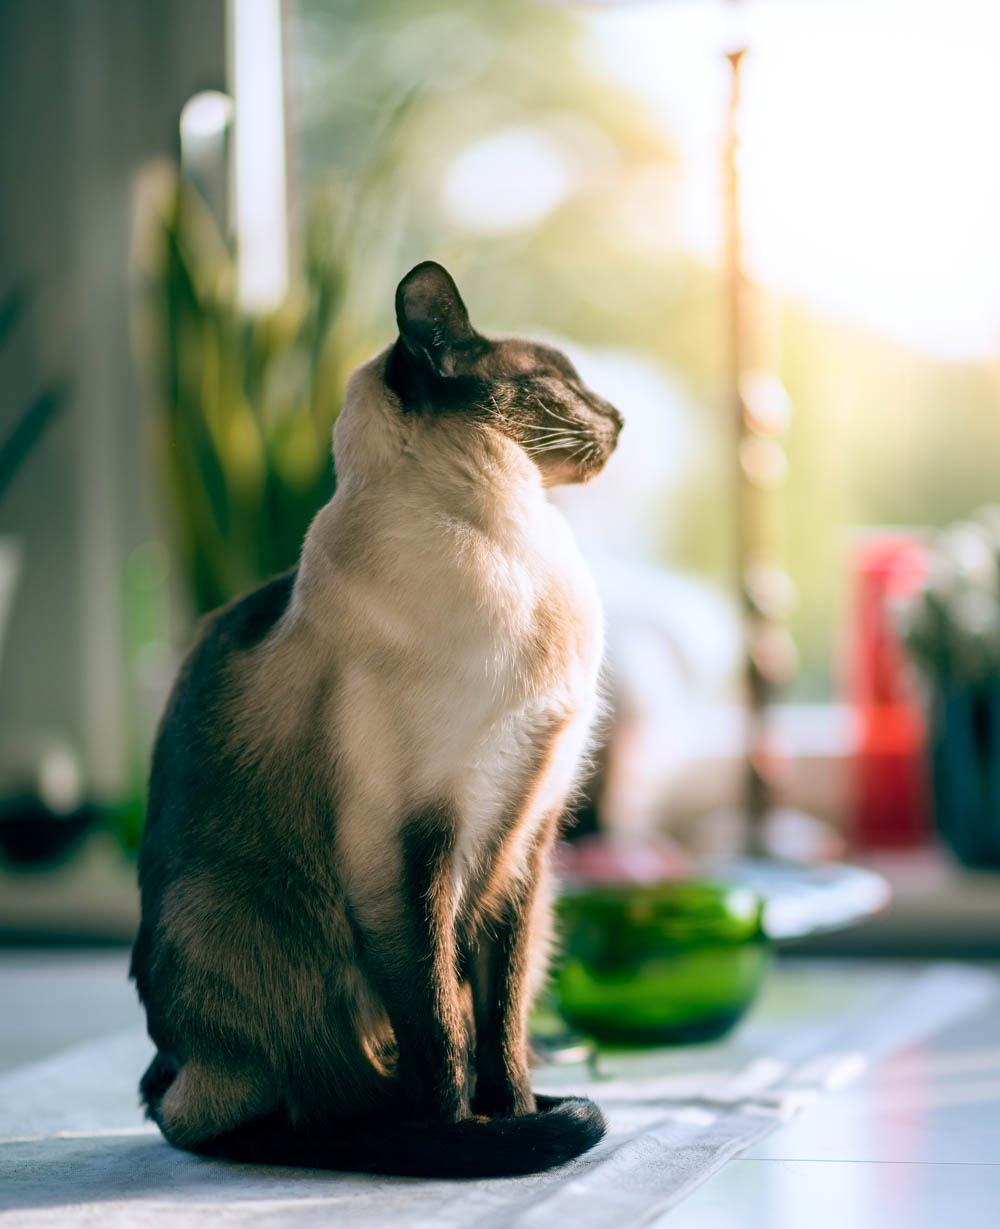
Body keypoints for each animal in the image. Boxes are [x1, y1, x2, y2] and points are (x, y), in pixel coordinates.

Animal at [128, 261, 621, 1179]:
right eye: (561, 383)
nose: (618, 417)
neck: (519, 543)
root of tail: (172, 1060)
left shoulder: (525, 840)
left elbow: (499, 1025)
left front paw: (516, 1117)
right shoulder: (411, 838)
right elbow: (442, 1026)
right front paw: (469, 1140)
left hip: (538, 913)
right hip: (221, 910)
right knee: (241, 1114)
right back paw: (382, 1139)